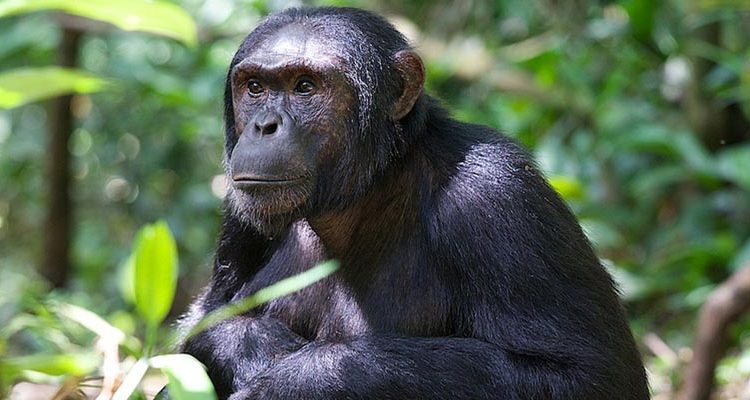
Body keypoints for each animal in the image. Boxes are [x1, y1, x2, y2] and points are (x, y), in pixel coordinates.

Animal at [178, 6, 652, 400]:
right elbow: (202, 322)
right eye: (255, 87)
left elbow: (585, 374)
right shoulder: (240, 218)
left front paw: (304, 378)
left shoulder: (498, 198)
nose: (264, 125)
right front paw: (255, 345)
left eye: (305, 86)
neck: (367, 193)